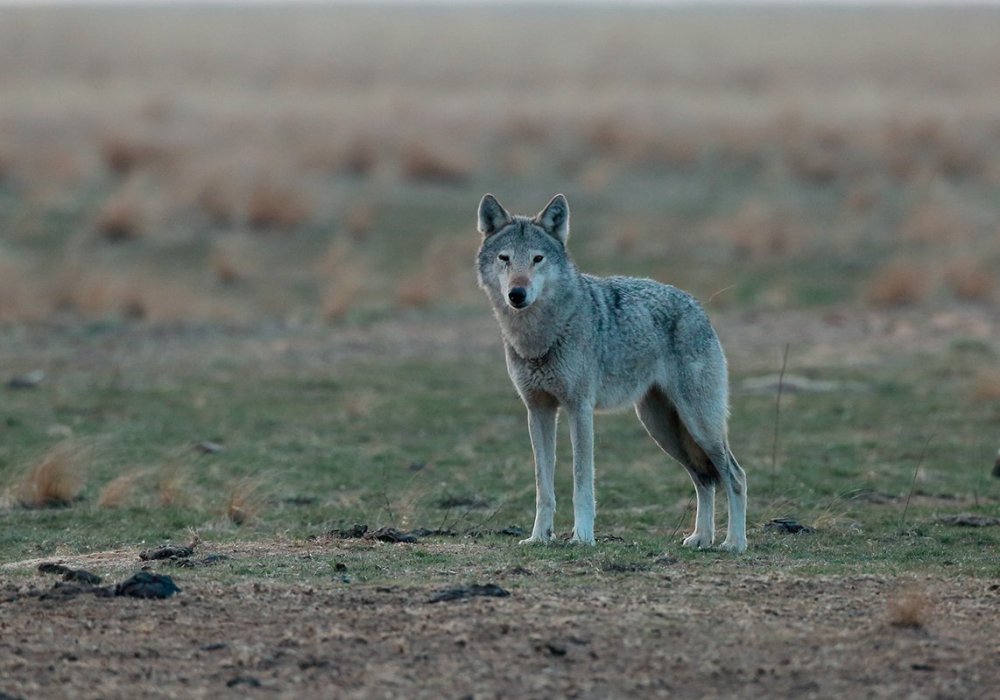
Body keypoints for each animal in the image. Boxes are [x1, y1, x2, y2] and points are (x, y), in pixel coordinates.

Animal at [478, 193, 752, 552]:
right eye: (505, 259)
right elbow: (543, 487)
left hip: (699, 425)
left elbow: (582, 482)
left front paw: (582, 537)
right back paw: (701, 538)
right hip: (663, 430)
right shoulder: (538, 411)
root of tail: (697, 306)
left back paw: (734, 542)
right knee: (704, 480)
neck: (539, 338)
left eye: (537, 259)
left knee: (735, 476)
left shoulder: (579, 409)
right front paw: (539, 537)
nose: (517, 294)